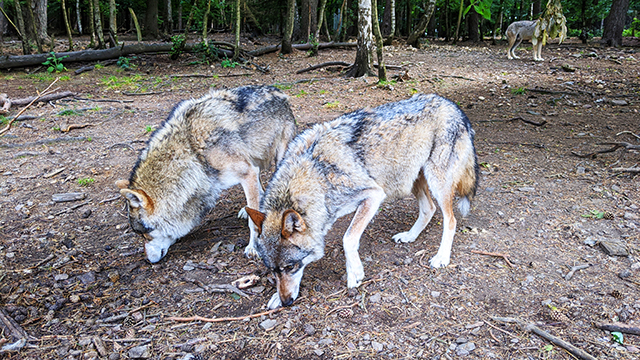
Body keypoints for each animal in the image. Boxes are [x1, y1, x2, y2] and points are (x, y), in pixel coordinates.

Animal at [116, 86, 296, 262]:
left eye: (144, 234)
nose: (147, 260)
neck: (192, 151)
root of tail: (280, 93)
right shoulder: (247, 172)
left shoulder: (248, 173)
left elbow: (253, 223)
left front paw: (253, 248)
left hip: (279, 158)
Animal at [245, 93, 476, 310]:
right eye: (273, 270)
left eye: (290, 267)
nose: (286, 302)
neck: (315, 174)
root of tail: (453, 106)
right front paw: (276, 297)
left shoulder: (373, 195)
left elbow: (348, 239)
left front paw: (354, 274)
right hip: (410, 178)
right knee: (429, 208)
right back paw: (409, 236)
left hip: (435, 181)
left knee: (451, 220)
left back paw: (442, 258)